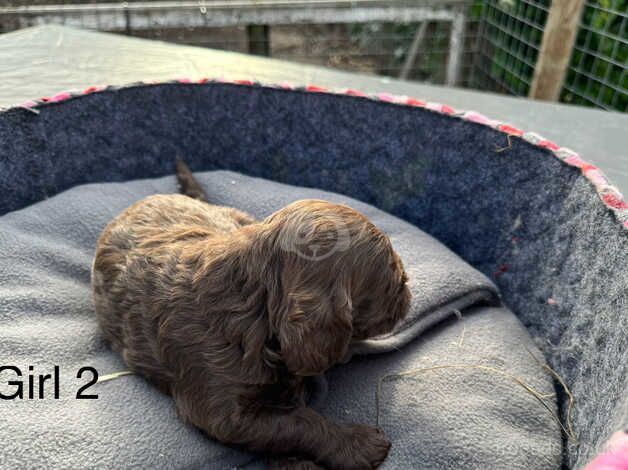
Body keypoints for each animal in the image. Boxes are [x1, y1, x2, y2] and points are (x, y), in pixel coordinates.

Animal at [91, 162, 410, 470]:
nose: (408, 286)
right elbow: (295, 422)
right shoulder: (223, 412)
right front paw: (356, 445)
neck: (256, 309)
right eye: (391, 275)